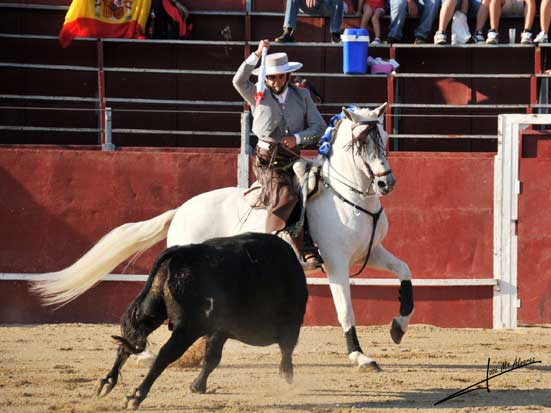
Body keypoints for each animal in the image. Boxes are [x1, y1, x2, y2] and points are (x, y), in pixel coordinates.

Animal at [29, 103, 410, 370]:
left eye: (383, 139)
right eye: (361, 142)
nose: (386, 182)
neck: (348, 196)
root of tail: (181, 210)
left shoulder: (372, 252)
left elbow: (405, 273)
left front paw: (398, 327)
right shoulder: (336, 263)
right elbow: (346, 311)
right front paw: (360, 356)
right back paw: (150, 353)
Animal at [95, 232, 310, 408]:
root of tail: (182, 253)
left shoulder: (220, 330)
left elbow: (212, 357)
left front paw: (197, 386)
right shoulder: (290, 325)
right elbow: (287, 349)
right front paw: (286, 376)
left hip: (151, 310)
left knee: (128, 342)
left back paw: (107, 382)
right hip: (188, 327)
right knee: (165, 354)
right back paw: (136, 396)